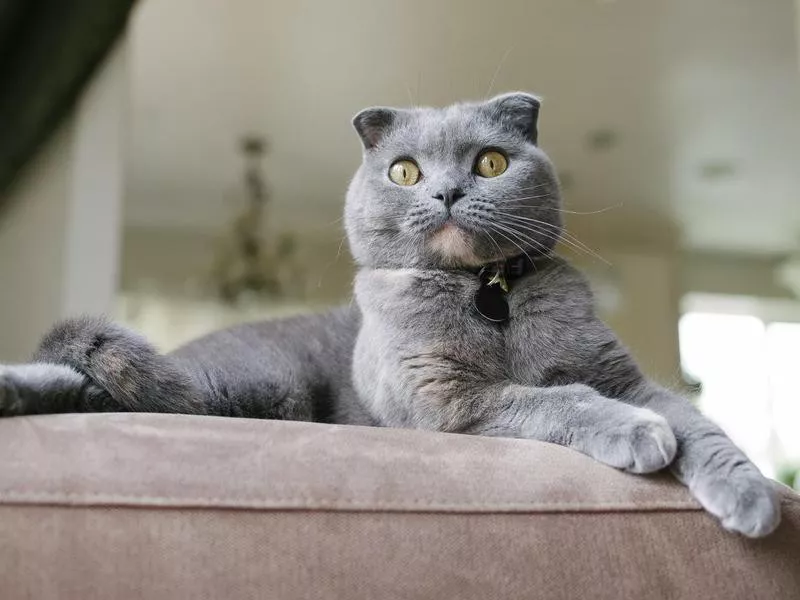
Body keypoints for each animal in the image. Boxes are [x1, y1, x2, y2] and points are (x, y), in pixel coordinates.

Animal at [0, 92, 780, 540]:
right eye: (404, 171)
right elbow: (556, 397)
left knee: (96, 391)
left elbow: (698, 424)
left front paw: (751, 495)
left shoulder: (626, 376)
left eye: (491, 162)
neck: (487, 294)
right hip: (253, 384)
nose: (446, 192)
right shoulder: (446, 398)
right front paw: (637, 433)